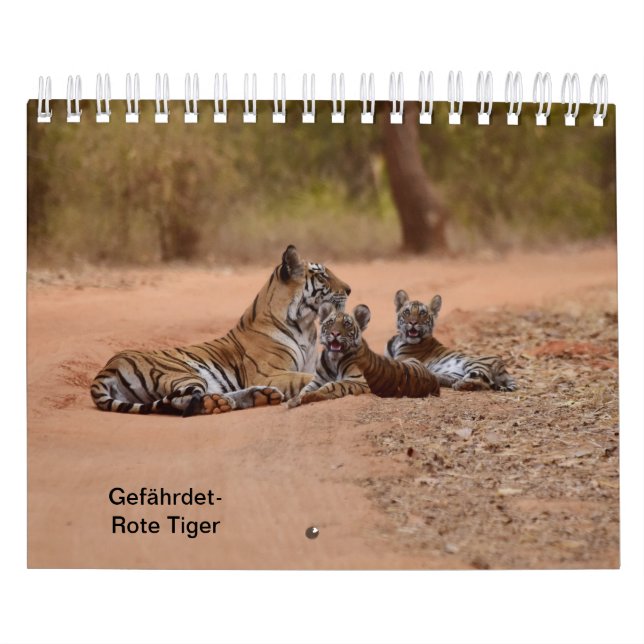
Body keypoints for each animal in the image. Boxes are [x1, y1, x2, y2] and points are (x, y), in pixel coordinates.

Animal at [90, 245, 351, 416]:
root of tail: (107, 368)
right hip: (182, 373)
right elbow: (306, 378)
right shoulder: (268, 373)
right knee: (184, 401)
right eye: (322, 275)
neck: (306, 325)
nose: (349, 289)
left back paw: (259, 397)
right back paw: (223, 403)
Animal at [289, 302, 440, 407]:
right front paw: (295, 399)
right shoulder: (318, 379)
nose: (335, 333)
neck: (333, 360)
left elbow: (333, 385)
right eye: (331, 322)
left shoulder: (358, 382)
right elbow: (306, 388)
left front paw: (311, 396)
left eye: (347, 324)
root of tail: (434, 379)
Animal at [384, 290, 517, 392]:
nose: (413, 322)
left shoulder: (402, 360)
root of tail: (504, 368)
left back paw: (461, 385)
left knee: (481, 381)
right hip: (454, 372)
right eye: (407, 311)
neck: (399, 340)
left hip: (474, 363)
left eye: (422, 313)